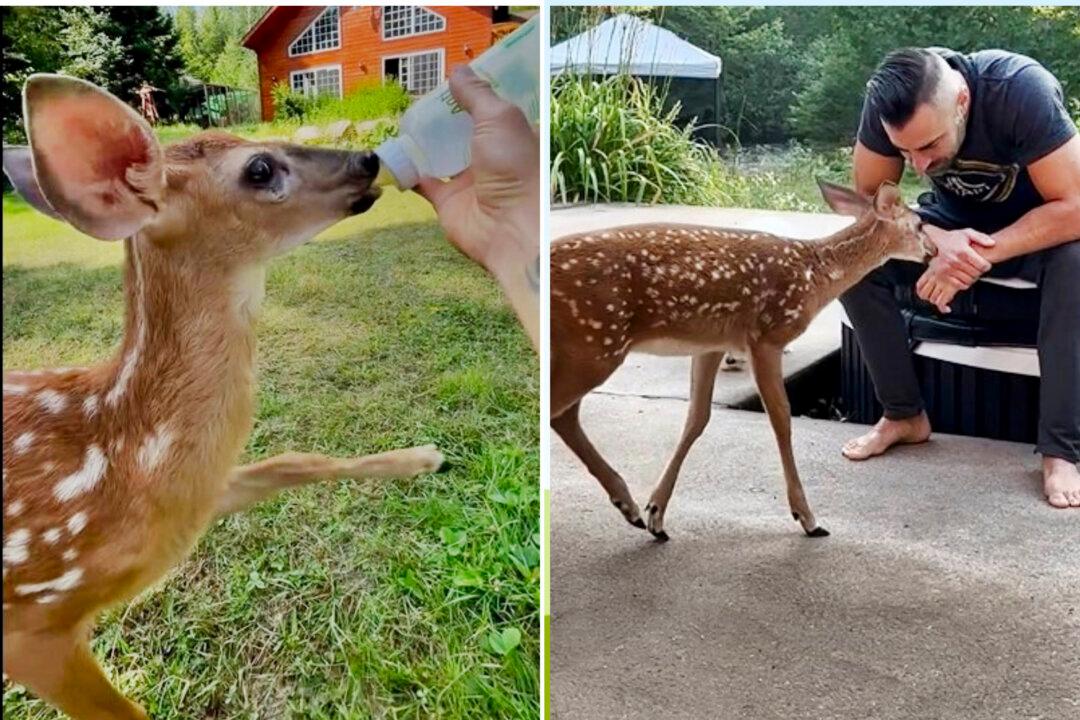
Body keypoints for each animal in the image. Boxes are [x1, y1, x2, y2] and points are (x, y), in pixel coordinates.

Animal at [2, 74, 449, 719]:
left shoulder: (200, 495)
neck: (123, 456)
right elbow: (128, 714)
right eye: (258, 168)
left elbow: (294, 460)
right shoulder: (32, 626)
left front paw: (423, 457)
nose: (367, 159)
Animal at [550, 180, 933, 541]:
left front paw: (656, 514)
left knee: (565, 416)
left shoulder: (711, 344)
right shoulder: (766, 336)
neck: (813, 277)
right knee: (561, 411)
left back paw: (628, 507)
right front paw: (807, 518)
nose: (933, 253)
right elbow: (781, 419)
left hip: (589, 348)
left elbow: (697, 418)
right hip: (595, 343)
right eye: (919, 224)